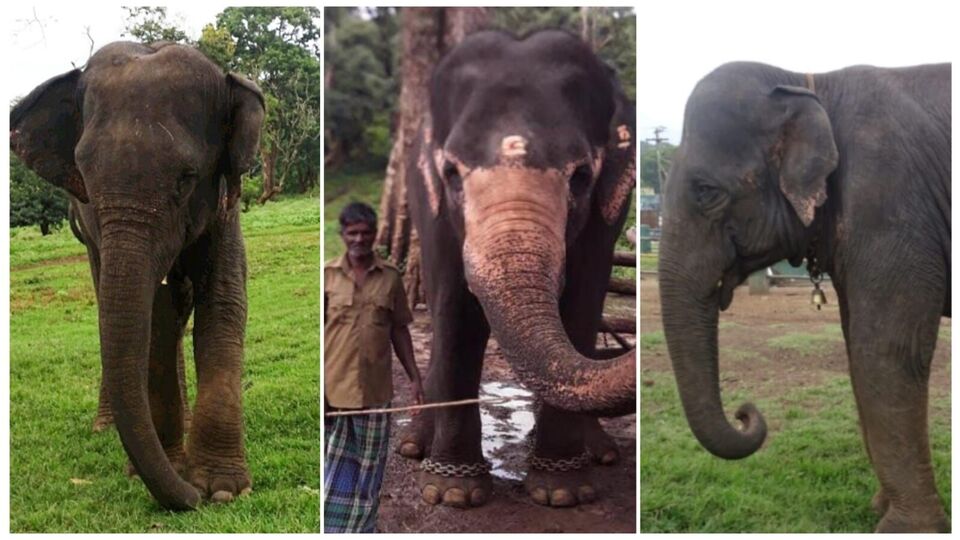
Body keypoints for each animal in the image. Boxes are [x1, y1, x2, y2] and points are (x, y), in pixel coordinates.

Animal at [10, 41, 265, 510]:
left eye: (186, 179)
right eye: (86, 176)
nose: (191, 499)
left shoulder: (226, 202)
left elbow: (223, 300)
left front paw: (222, 489)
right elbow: (156, 316)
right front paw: (173, 472)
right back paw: (109, 426)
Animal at [397, 29, 637, 509]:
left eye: (581, 176)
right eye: (451, 173)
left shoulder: (607, 215)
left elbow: (581, 305)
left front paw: (562, 492)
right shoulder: (432, 210)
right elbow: (454, 309)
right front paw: (453, 493)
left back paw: (600, 453)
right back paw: (413, 446)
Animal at [658, 61, 950, 532]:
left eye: (706, 192)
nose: (744, 413)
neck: (809, 82)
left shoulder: (890, 203)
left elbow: (886, 352)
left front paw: (904, 529)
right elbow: (856, 350)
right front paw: (879, 508)